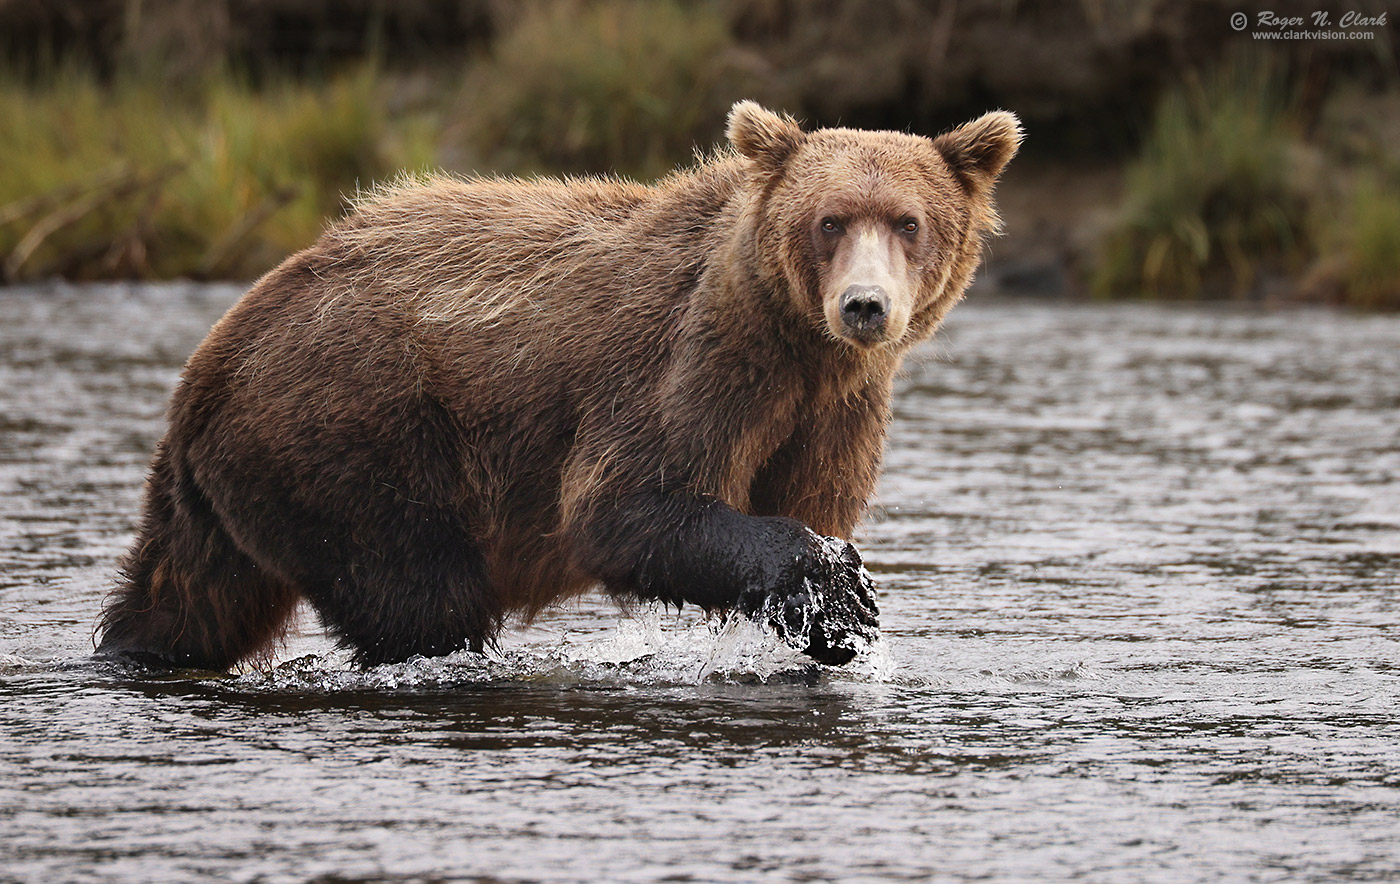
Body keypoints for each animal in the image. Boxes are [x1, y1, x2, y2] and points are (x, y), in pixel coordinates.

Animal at [95, 100, 1019, 669]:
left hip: (236, 486)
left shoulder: (831, 409)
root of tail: (211, 360)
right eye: (829, 221)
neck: (797, 345)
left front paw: (827, 620)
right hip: (352, 435)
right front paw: (843, 593)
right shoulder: (694, 362)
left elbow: (808, 497)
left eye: (909, 222)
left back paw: (134, 652)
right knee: (421, 594)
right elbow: (626, 506)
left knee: (190, 596)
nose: (865, 306)